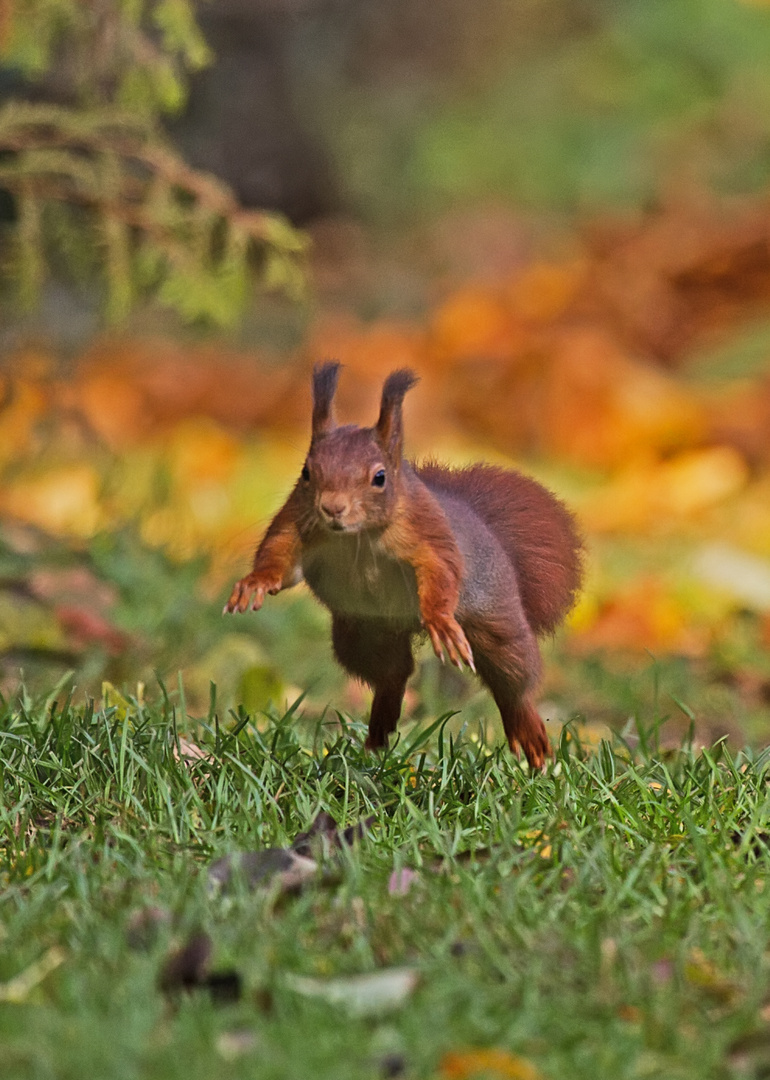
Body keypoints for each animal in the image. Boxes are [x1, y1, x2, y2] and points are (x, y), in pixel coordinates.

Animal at [223, 362, 583, 768]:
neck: (357, 536)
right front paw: (255, 582)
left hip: (496, 620)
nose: (332, 508)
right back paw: (380, 729)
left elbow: (441, 570)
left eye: (379, 477)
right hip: (365, 634)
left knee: (512, 678)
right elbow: (280, 558)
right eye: (306, 473)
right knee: (392, 675)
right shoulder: (296, 523)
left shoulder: (426, 532)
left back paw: (529, 733)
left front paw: (440, 620)